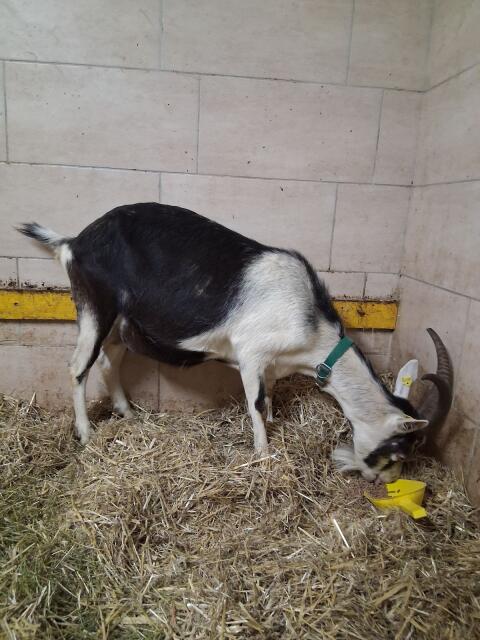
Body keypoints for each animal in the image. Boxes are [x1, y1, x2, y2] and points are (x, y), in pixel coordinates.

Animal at [18, 203, 453, 482]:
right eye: (399, 449)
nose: (383, 483)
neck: (312, 329)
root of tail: (74, 242)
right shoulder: (251, 353)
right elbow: (256, 403)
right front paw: (263, 455)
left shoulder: (273, 364)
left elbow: (271, 397)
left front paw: (275, 427)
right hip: (95, 304)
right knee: (79, 366)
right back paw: (86, 434)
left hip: (124, 321)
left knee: (109, 360)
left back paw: (127, 413)